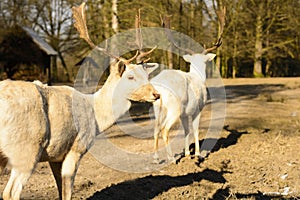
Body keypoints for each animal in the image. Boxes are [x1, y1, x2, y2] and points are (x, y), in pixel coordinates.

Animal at [0, 1, 159, 200]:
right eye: (130, 77)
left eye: (146, 75)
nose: (156, 94)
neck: (97, 119)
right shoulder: (77, 146)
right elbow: (68, 190)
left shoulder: (55, 155)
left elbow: (60, 189)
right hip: (26, 149)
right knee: (10, 192)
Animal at [152, 7, 225, 162]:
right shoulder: (198, 108)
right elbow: (195, 129)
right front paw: (197, 153)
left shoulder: (184, 114)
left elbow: (186, 130)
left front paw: (186, 153)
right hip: (174, 108)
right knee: (165, 129)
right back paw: (171, 158)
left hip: (157, 108)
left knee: (156, 128)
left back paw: (155, 158)